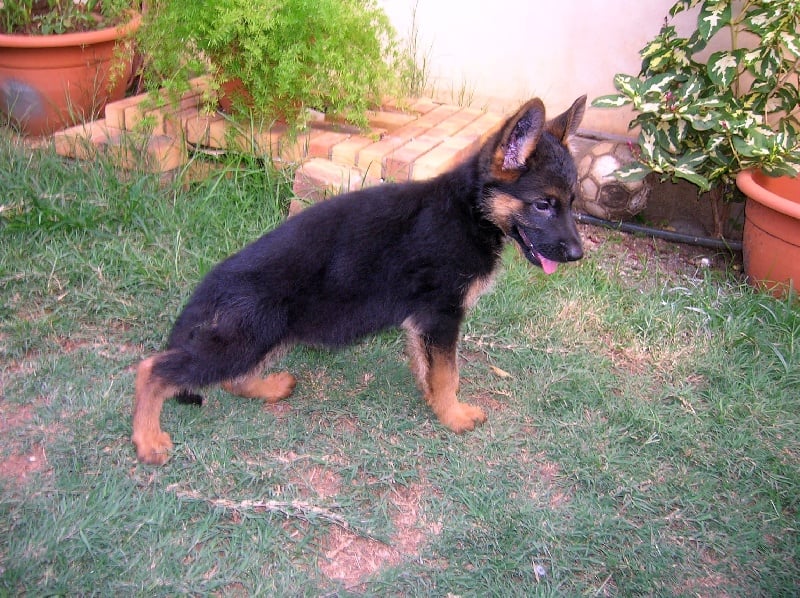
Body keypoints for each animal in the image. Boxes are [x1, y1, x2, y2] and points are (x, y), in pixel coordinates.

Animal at [131, 96, 588, 466]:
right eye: (543, 205)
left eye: (572, 203)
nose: (578, 255)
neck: (469, 210)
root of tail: (213, 284)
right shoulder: (442, 314)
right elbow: (448, 373)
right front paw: (453, 415)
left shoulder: (423, 321)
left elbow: (429, 367)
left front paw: (433, 402)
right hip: (248, 336)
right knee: (154, 368)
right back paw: (148, 439)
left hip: (262, 337)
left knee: (231, 376)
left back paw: (270, 387)